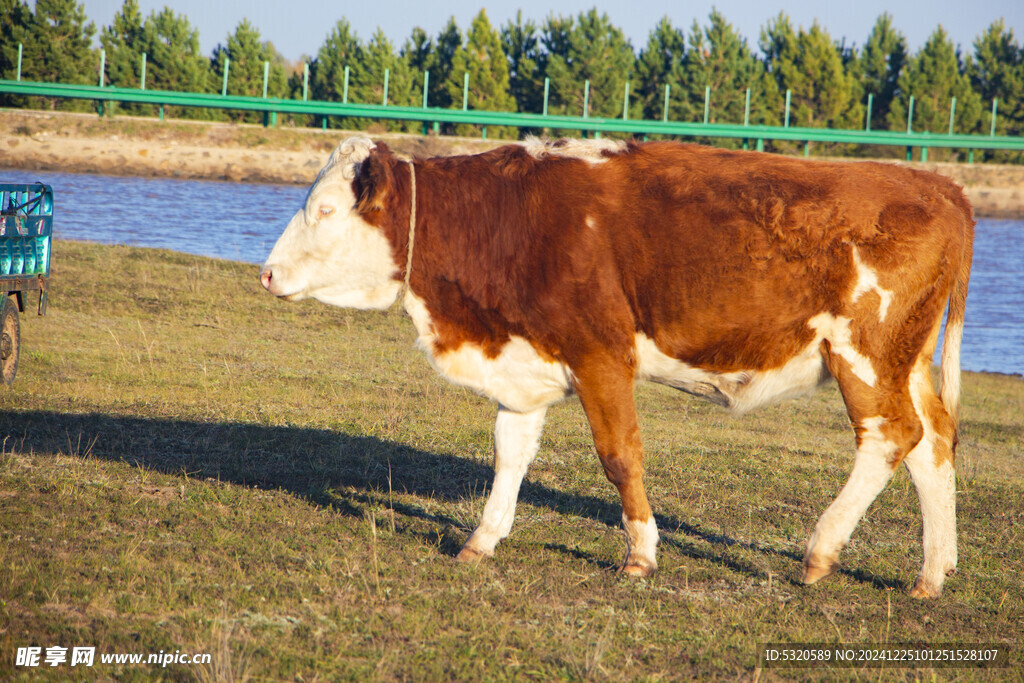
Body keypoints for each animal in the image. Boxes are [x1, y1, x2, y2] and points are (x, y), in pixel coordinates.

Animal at [260, 137, 970, 598]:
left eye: (325, 210)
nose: (265, 273)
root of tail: (938, 184)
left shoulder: (601, 356)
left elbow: (620, 454)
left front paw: (640, 555)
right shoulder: (523, 366)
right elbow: (509, 454)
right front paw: (482, 540)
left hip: (864, 353)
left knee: (891, 435)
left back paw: (822, 552)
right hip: (903, 359)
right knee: (932, 440)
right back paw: (931, 573)